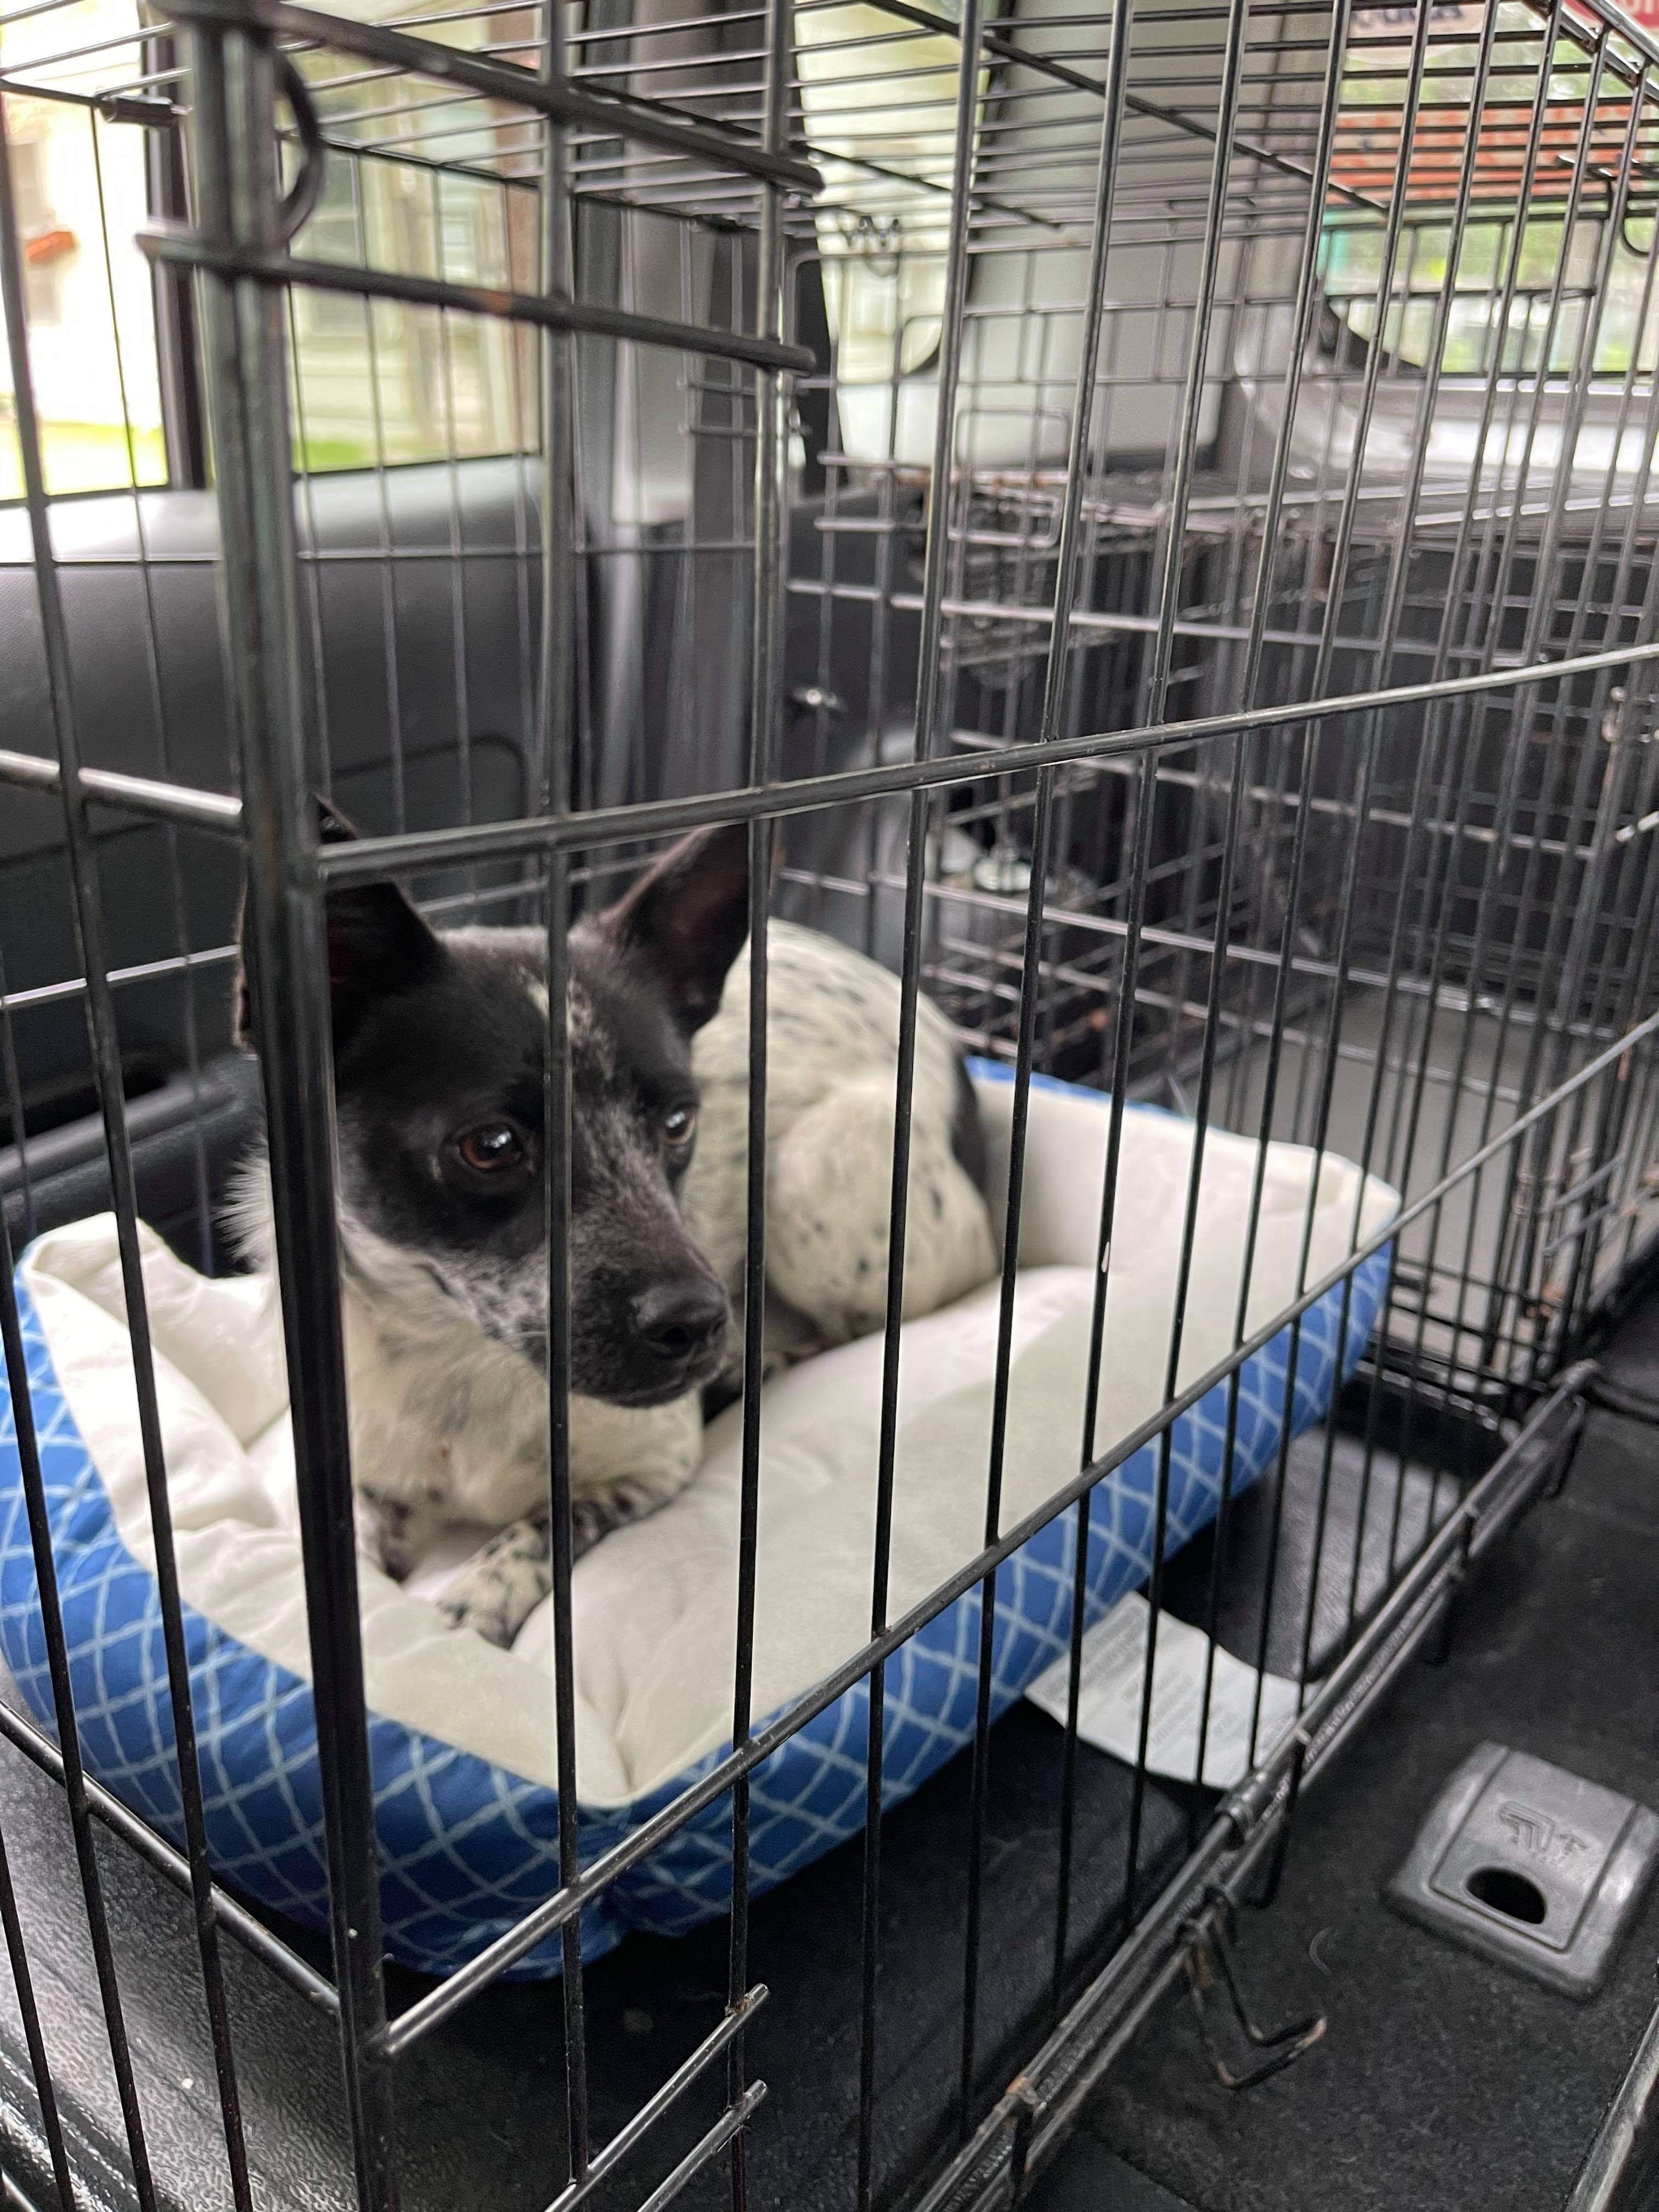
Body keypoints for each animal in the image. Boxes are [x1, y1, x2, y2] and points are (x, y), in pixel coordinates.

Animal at [232, 814, 1000, 1645]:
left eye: (678, 1121)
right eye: (490, 1145)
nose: (697, 1325)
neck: (461, 1363)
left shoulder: (651, 1468)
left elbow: (545, 1526)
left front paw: (477, 1602)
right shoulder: (360, 1487)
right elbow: (367, 1561)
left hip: (814, 1180)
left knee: (860, 1322)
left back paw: (755, 1365)